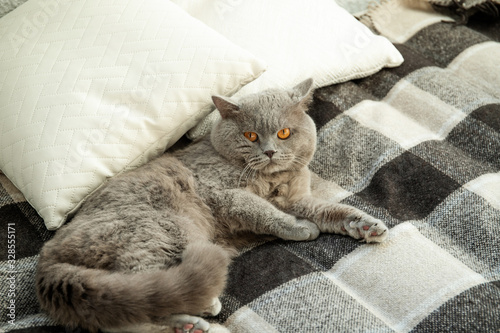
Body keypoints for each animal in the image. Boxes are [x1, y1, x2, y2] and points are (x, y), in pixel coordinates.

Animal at [36, 79, 386, 332]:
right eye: (251, 135)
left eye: (284, 133)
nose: (270, 151)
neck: (271, 180)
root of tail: (47, 258)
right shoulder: (223, 193)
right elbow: (264, 212)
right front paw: (301, 229)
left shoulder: (298, 199)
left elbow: (330, 211)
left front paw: (366, 225)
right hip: (161, 231)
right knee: (139, 295)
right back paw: (198, 314)